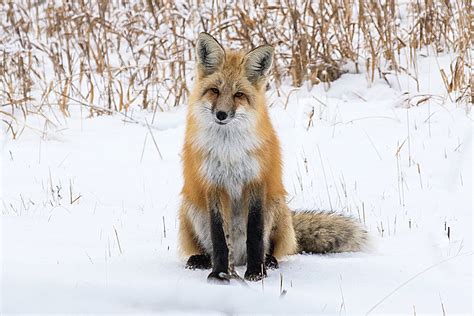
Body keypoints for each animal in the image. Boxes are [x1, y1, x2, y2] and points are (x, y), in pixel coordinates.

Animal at [178, 32, 366, 284]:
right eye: (215, 91)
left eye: (238, 95)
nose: (221, 115)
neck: (229, 151)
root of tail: (238, 259)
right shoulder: (213, 185)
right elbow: (219, 239)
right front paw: (218, 274)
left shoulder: (257, 182)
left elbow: (255, 235)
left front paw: (256, 272)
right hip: (190, 207)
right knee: (209, 248)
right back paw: (201, 260)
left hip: (277, 205)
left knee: (272, 248)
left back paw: (268, 261)